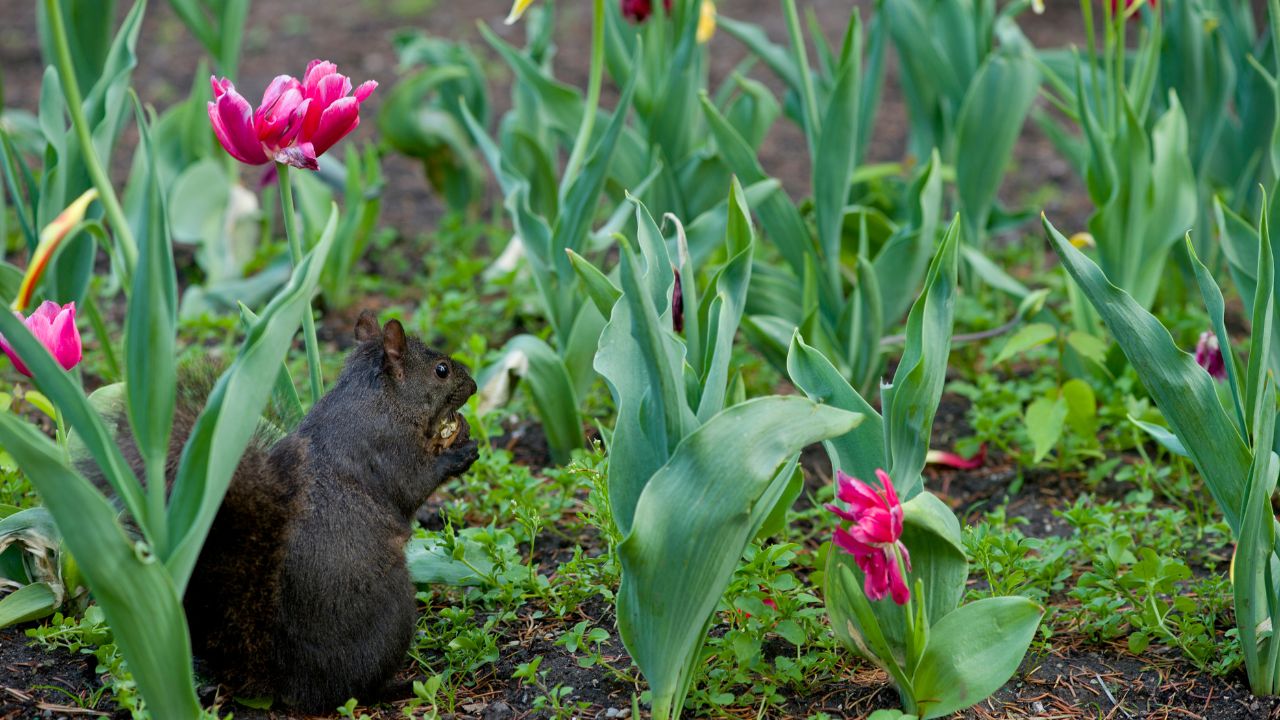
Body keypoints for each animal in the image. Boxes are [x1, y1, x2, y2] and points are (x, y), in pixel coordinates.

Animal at [86, 311, 481, 707]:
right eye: (442, 370)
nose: (475, 386)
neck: (381, 399)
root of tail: (286, 680)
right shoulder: (388, 450)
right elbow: (414, 483)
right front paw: (460, 451)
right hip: (393, 613)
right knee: (357, 689)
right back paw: (400, 685)